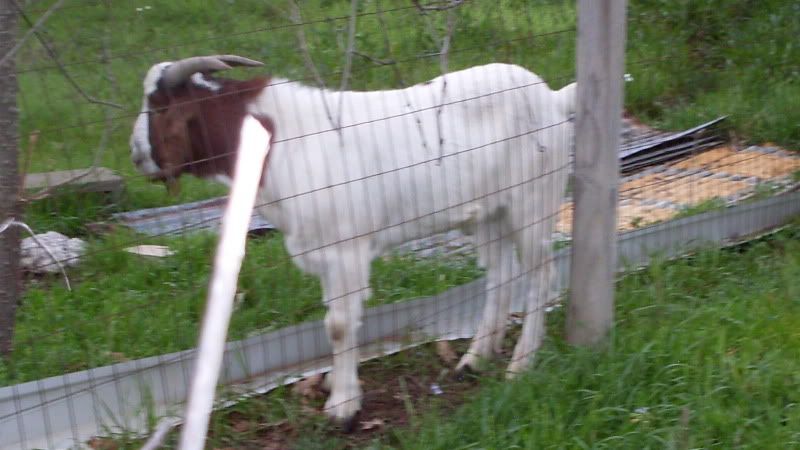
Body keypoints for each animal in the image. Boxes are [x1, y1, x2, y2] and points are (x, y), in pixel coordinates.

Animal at [130, 55, 576, 429]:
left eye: (162, 107)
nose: (136, 156)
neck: (277, 141)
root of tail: (553, 98)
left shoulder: (346, 251)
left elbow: (340, 326)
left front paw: (343, 405)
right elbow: (335, 321)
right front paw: (337, 387)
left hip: (534, 201)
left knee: (540, 277)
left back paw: (521, 365)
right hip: (490, 213)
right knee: (501, 274)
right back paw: (475, 359)